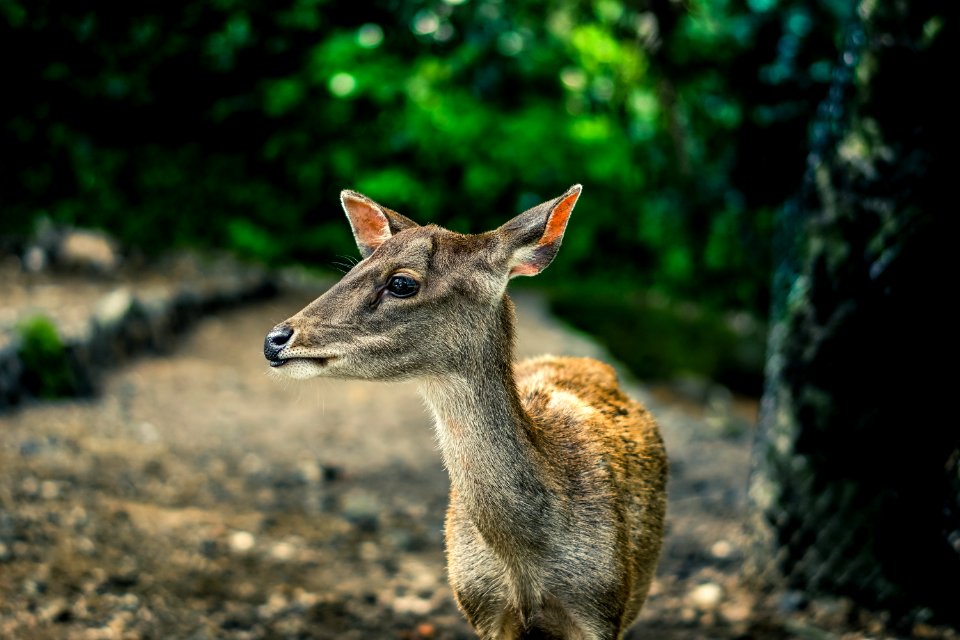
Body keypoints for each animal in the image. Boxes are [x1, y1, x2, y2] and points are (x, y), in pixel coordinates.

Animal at [262, 186, 668, 640]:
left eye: (401, 282)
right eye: (353, 268)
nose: (275, 338)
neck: (525, 560)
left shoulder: (601, 606)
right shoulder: (480, 604)